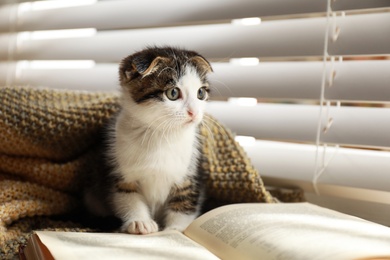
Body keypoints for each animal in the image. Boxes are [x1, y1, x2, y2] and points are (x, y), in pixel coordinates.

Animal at [85, 45, 213, 235]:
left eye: (201, 93)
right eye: (173, 93)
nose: (194, 112)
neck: (161, 134)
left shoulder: (189, 173)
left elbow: (184, 200)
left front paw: (175, 229)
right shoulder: (119, 171)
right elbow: (128, 198)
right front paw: (140, 222)